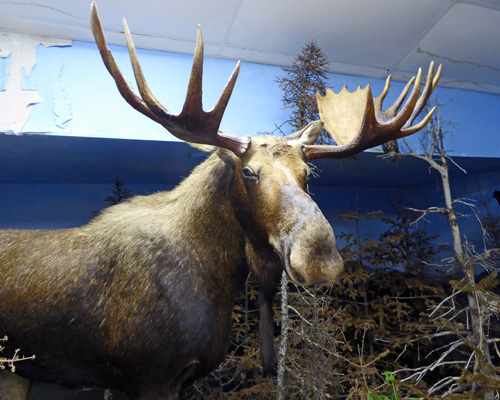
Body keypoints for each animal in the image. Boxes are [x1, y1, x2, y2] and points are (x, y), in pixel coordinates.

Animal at [0, 3, 442, 400]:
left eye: (307, 173)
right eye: (248, 172)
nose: (320, 259)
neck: (219, 274)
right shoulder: (150, 376)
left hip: (16, 371)